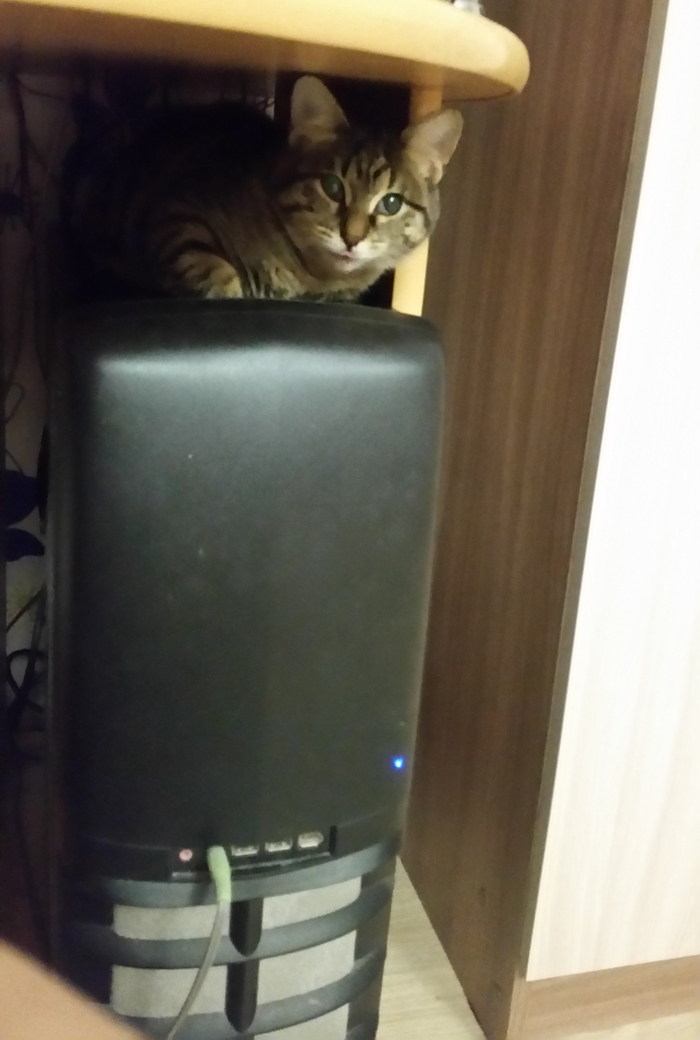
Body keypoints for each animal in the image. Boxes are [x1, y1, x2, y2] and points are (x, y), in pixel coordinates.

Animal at [65, 76, 462, 303]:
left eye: (391, 203)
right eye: (332, 187)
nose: (351, 238)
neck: (310, 276)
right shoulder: (176, 216)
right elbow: (215, 271)